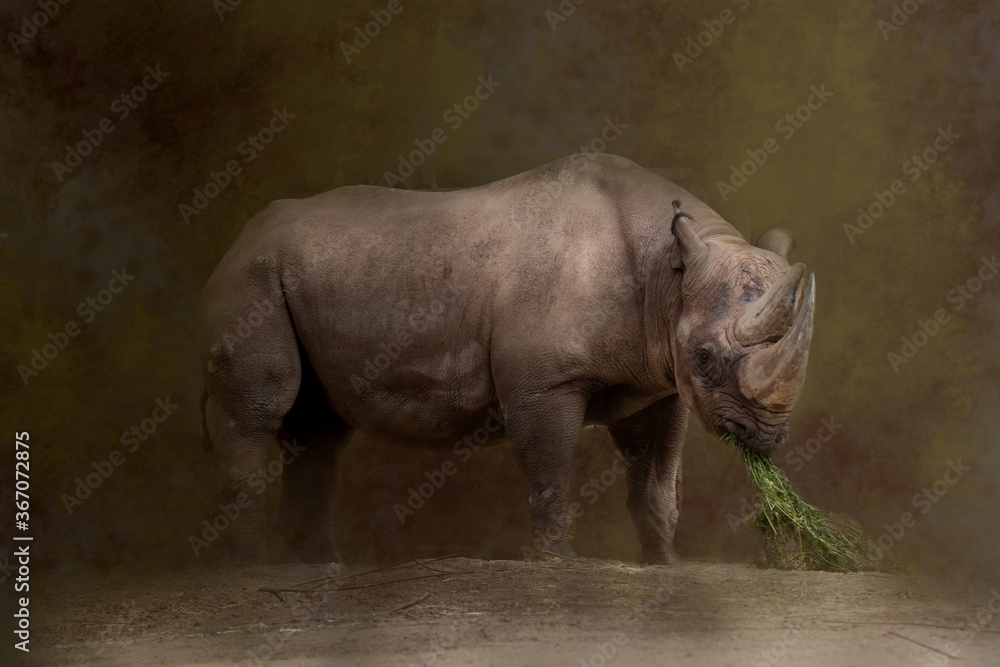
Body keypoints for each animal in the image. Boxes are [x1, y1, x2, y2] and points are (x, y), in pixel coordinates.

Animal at [198, 153, 815, 564]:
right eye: (706, 358)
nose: (766, 438)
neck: (667, 271)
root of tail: (237, 240)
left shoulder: (660, 384)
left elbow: (657, 490)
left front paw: (666, 570)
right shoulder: (543, 385)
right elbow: (550, 483)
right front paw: (558, 569)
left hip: (310, 273)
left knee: (318, 431)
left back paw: (316, 575)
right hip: (252, 278)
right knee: (260, 411)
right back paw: (255, 579)